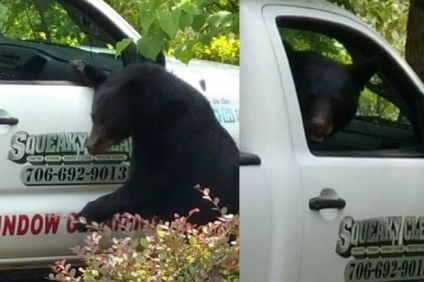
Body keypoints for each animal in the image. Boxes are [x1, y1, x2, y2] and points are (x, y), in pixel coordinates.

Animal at [71, 60, 240, 228]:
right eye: (93, 116)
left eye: (110, 121)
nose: (90, 145)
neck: (156, 114)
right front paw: (80, 65)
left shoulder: (175, 142)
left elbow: (148, 184)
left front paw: (83, 216)